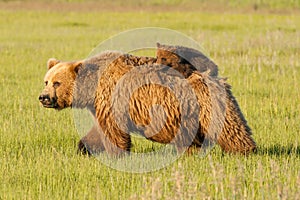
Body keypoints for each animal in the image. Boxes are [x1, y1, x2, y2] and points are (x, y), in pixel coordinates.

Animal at [39, 47, 255, 156]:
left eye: (57, 83)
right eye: (46, 81)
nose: (44, 97)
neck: (93, 86)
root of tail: (214, 76)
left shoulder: (112, 98)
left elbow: (113, 132)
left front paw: (117, 154)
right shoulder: (101, 104)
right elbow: (99, 131)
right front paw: (83, 148)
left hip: (207, 103)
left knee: (231, 129)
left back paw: (244, 151)